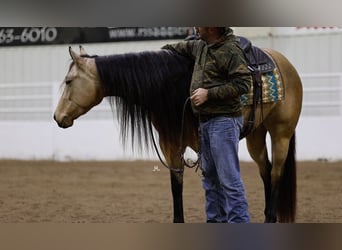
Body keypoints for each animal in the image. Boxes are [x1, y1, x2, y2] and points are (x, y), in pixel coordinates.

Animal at [53, 41, 302, 223]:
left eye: (69, 81)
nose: (57, 117)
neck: (171, 86)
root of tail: (285, 64)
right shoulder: (171, 144)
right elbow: (176, 186)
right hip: (255, 135)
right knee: (266, 170)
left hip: (281, 134)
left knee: (276, 173)